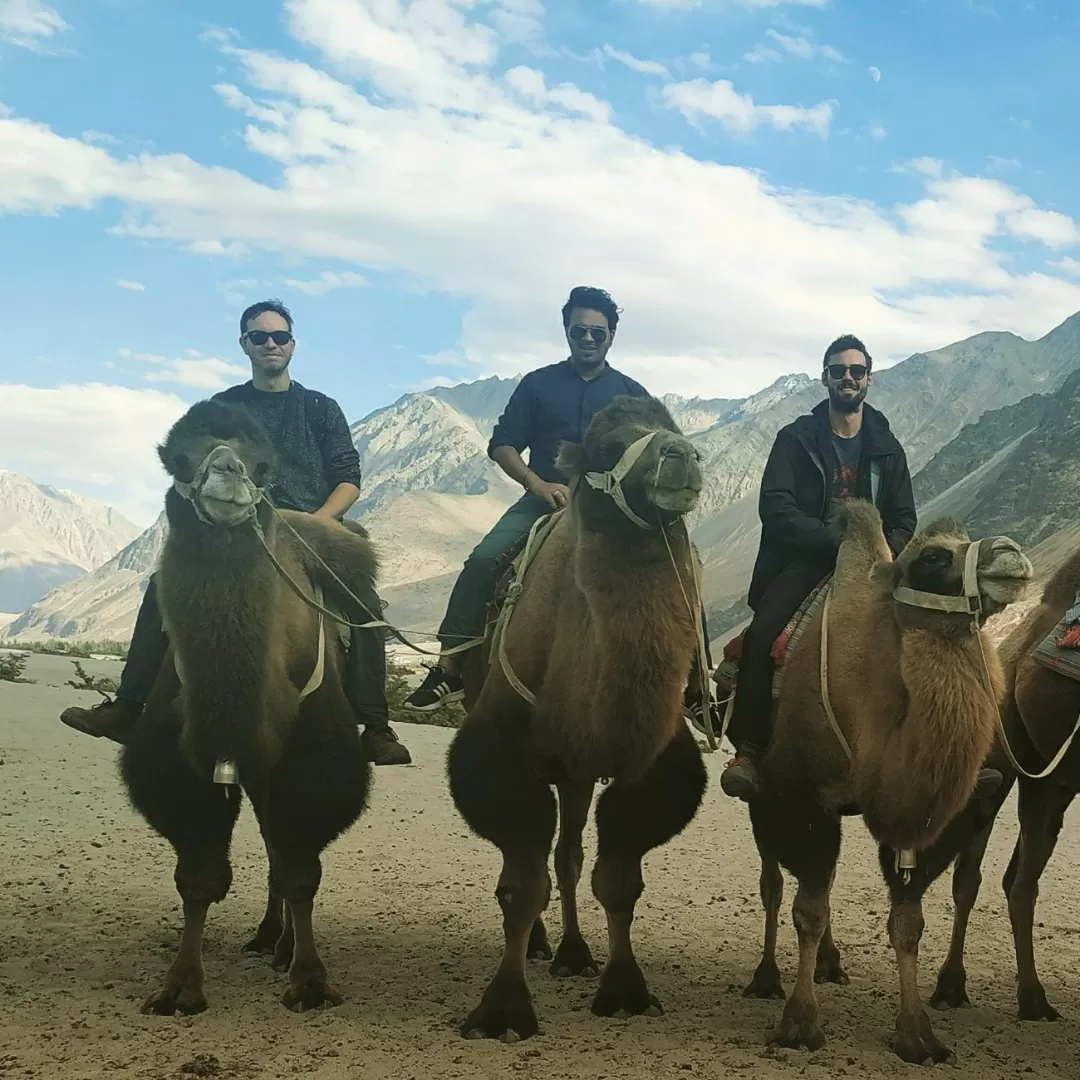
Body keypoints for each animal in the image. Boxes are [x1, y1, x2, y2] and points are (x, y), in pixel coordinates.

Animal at [117, 397, 380, 1010]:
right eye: (180, 459)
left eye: (262, 466)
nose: (228, 473)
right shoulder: (177, 763)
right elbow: (198, 877)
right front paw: (179, 987)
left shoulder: (314, 759)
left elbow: (300, 871)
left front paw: (309, 981)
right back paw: (267, 939)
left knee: (280, 849)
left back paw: (282, 947)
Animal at [444, 395, 708, 1036]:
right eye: (607, 446)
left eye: (674, 428)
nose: (682, 456)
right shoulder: (502, 753)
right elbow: (519, 884)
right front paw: (503, 1008)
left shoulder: (645, 764)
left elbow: (618, 879)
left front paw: (625, 988)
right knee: (537, 860)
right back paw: (542, 945)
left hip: (575, 771)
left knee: (567, 854)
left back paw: (572, 953)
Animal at [730, 501, 1032, 1067]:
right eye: (933, 557)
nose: (1011, 555)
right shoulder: (799, 797)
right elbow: (808, 909)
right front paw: (799, 1025)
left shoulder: (924, 822)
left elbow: (907, 921)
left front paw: (918, 1036)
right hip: (762, 789)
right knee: (776, 883)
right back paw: (766, 978)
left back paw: (830, 965)